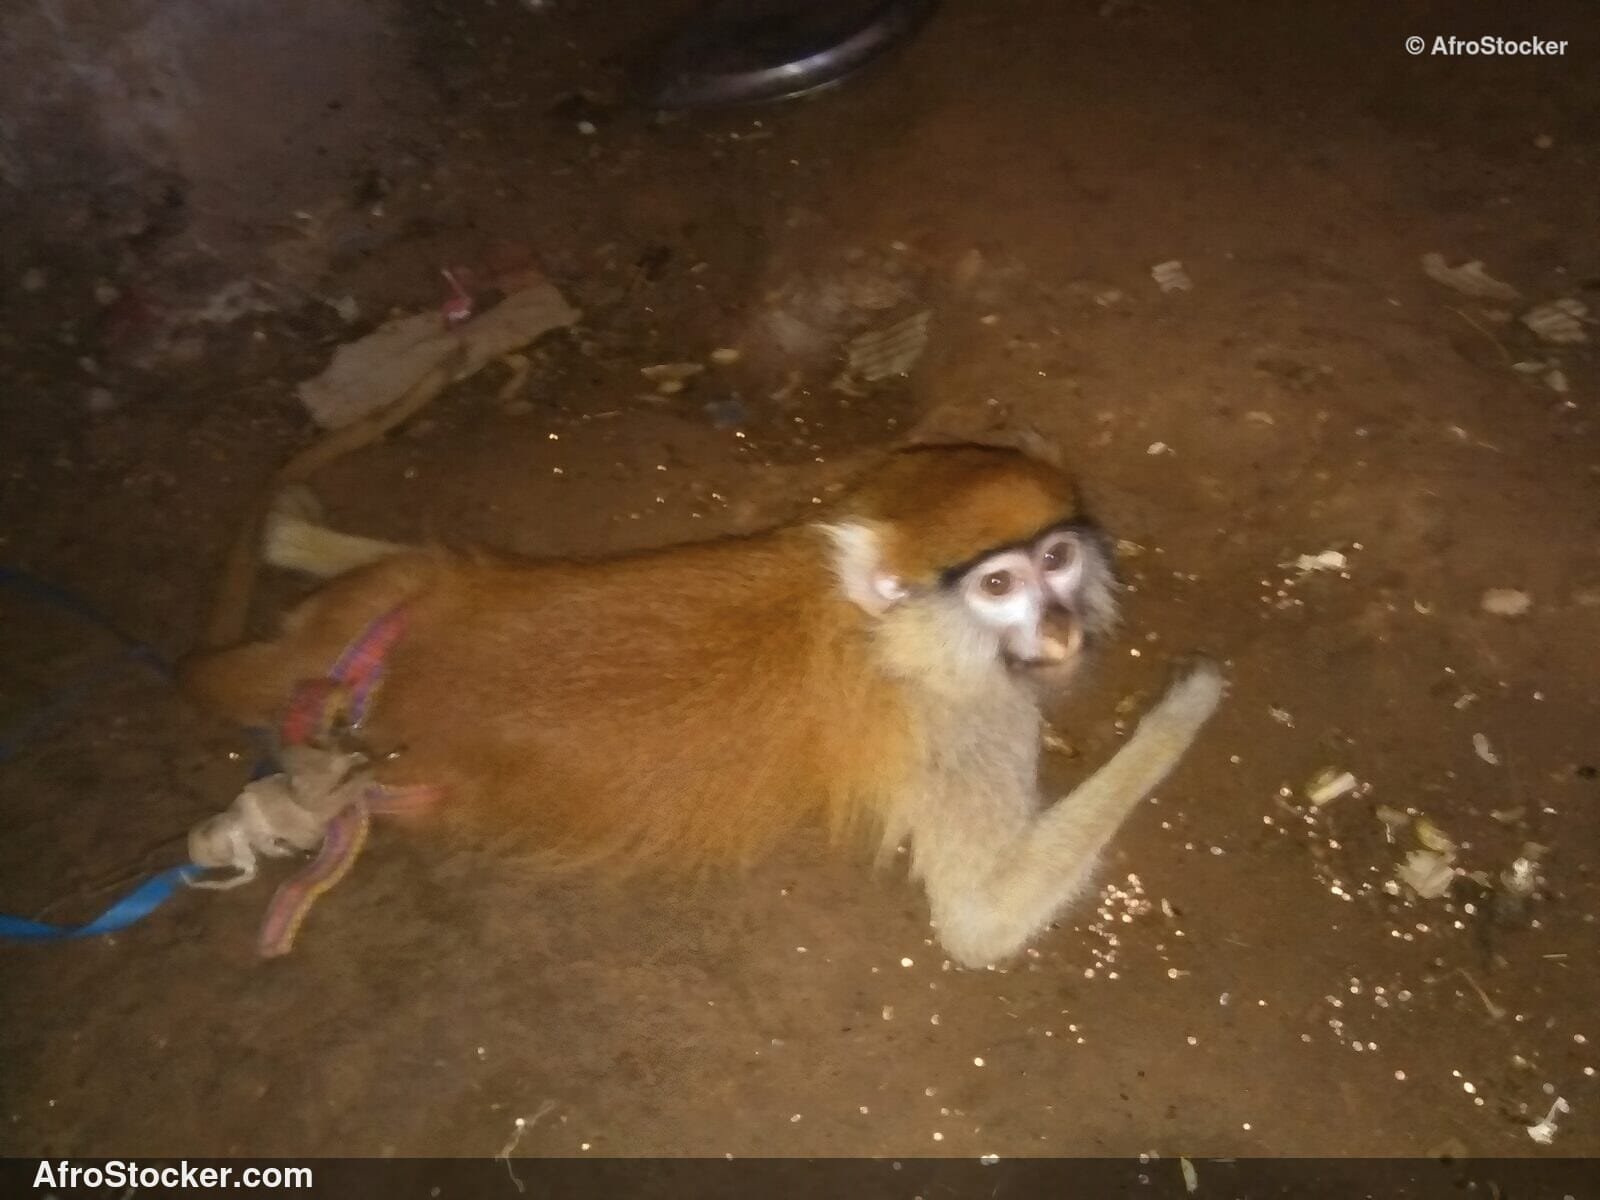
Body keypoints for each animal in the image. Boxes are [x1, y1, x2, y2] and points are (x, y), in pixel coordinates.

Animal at [181, 440, 1224, 968]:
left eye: (1058, 559)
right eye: (1000, 586)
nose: (1060, 626)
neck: (874, 620)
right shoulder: (959, 713)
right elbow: (979, 922)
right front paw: (1186, 709)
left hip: (405, 605)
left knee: (424, 569)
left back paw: (297, 540)